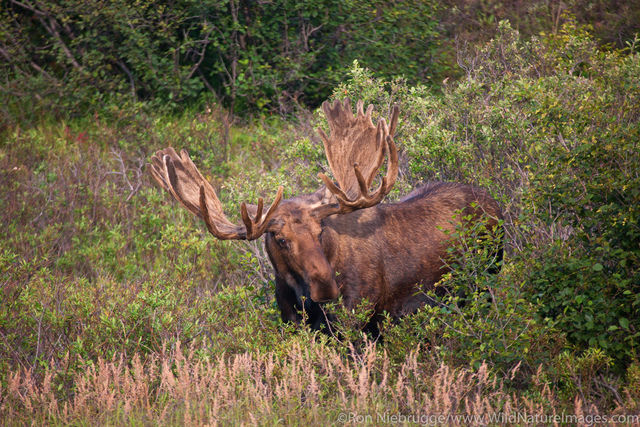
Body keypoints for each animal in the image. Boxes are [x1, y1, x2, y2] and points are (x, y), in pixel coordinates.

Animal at [149, 99, 500, 332]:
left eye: (321, 231)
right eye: (280, 239)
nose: (328, 288)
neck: (302, 298)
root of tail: (493, 201)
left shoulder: (360, 321)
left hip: (488, 279)